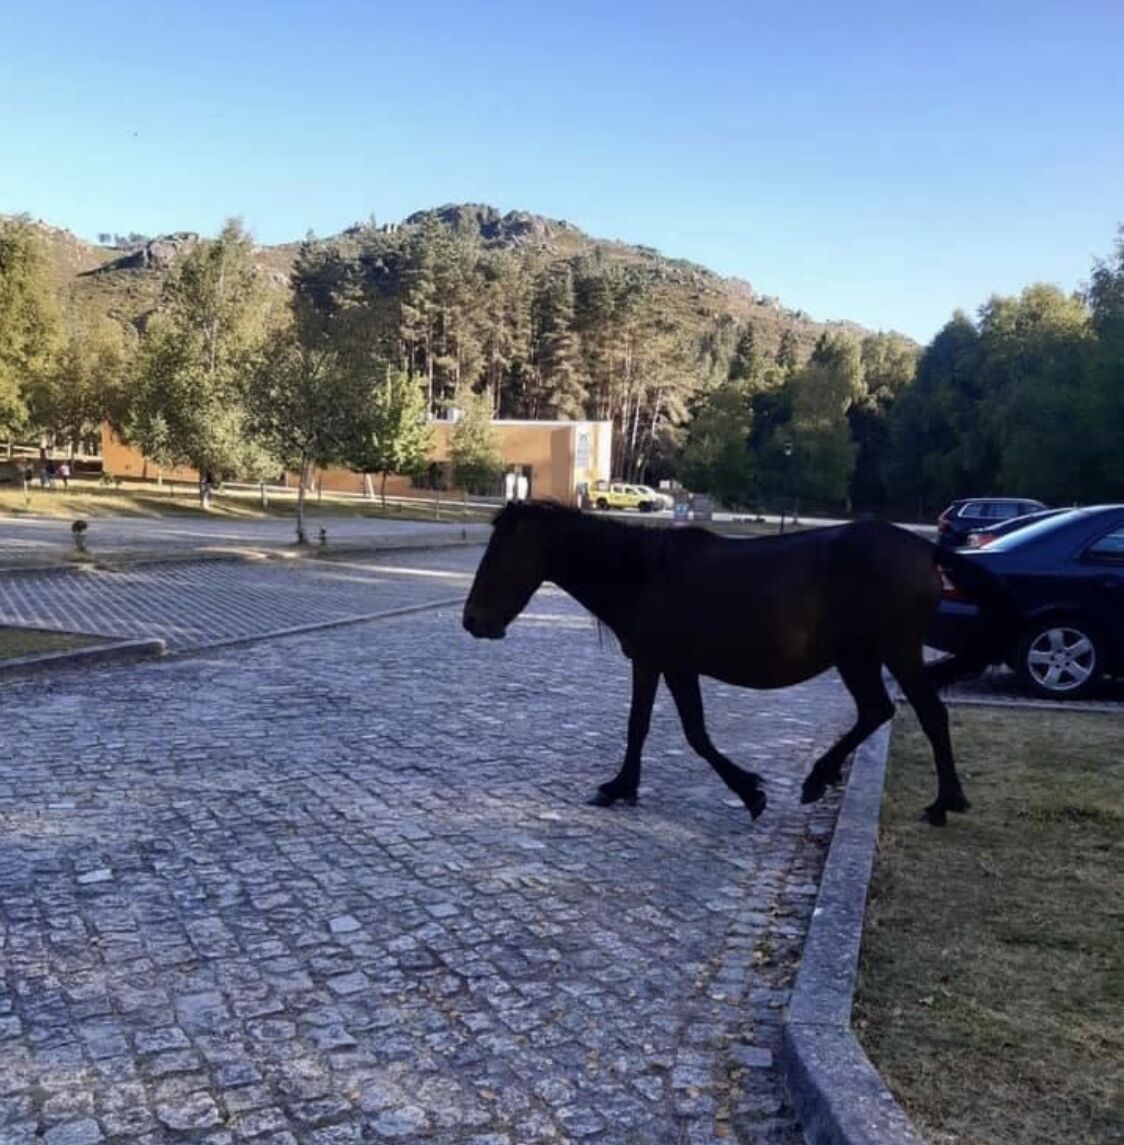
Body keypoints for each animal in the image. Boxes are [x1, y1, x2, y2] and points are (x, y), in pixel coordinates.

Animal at [462, 501, 1017, 826]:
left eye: (498, 555)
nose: (472, 622)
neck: (645, 574)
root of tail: (923, 548)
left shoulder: (672, 664)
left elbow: (694, 734)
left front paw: (750, 792)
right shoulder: (654, 663)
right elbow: (640, 726)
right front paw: (622, 787)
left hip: (884, 652)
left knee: (922, 714)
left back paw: (939, 801)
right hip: (862, 657)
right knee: (879, 713)